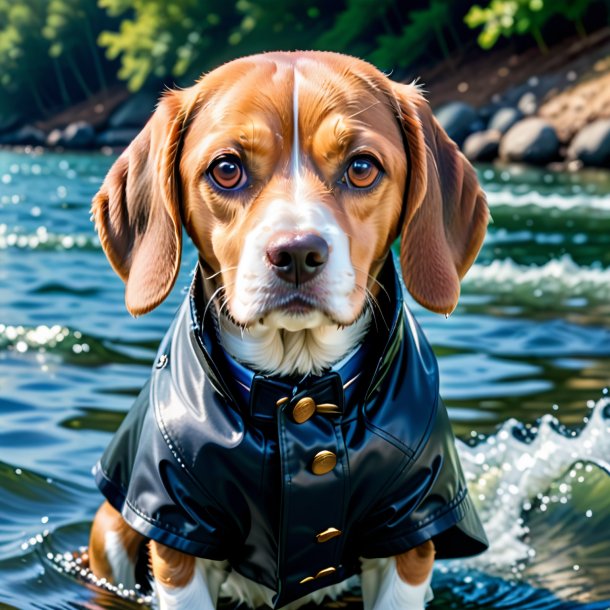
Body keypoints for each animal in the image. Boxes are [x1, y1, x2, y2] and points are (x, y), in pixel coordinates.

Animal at [88, 52, 490, 608]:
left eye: (361, 167)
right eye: (227, 169)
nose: (297, 253)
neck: (298, 388)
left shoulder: (411, 529)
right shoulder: (179, 533)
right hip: (110, 531)